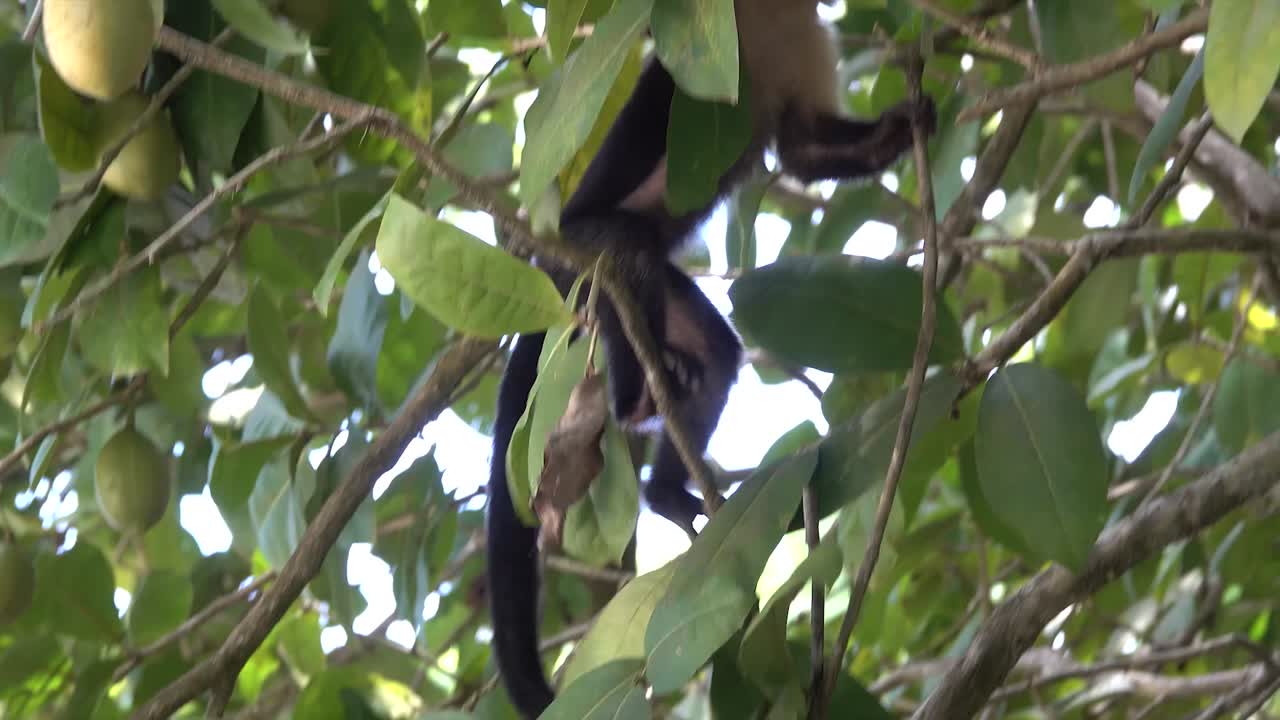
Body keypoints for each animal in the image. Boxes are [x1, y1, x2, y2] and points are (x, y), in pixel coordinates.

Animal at [486, 1, 936, 716]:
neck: (774, 18)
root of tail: (550, 256)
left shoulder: (808, 44)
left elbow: (803, 148)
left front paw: (906, 122)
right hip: (586, 250)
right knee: (631, 257)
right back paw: (635, 399)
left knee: (717, 354)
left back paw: (668, 488)